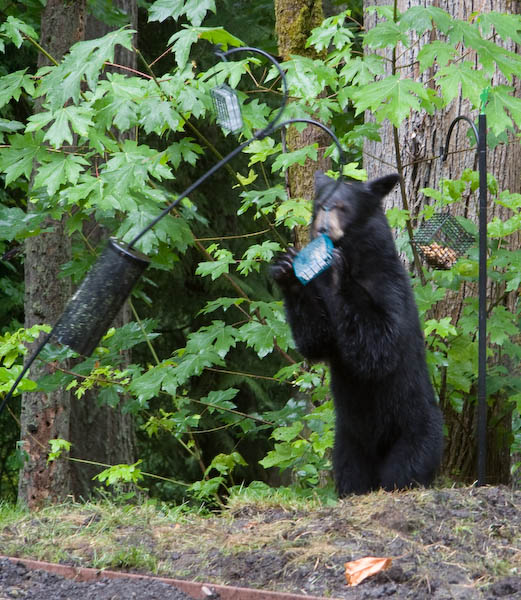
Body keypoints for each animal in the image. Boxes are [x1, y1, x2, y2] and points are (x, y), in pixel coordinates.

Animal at [272, 171, 442, 494]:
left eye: (341, 207)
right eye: (320, 205)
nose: (323, 228)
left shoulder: (389, 284)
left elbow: (379, 345)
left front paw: (337, 269)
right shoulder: (323, 304)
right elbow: (317, 339)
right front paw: (288, 271)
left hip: (414, 432)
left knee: (404, 470)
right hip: (347, 443)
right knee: (352, 476)